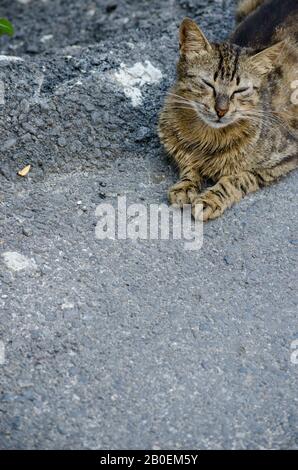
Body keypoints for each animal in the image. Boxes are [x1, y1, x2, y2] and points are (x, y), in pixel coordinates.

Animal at [157, 0, 296, 221]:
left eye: (240, 90)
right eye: (208, 84)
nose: (221, 110)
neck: (206, 137)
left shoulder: (284, 157)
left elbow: (238, 178)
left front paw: (210, 199)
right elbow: (188, 163)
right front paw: (186, 185)